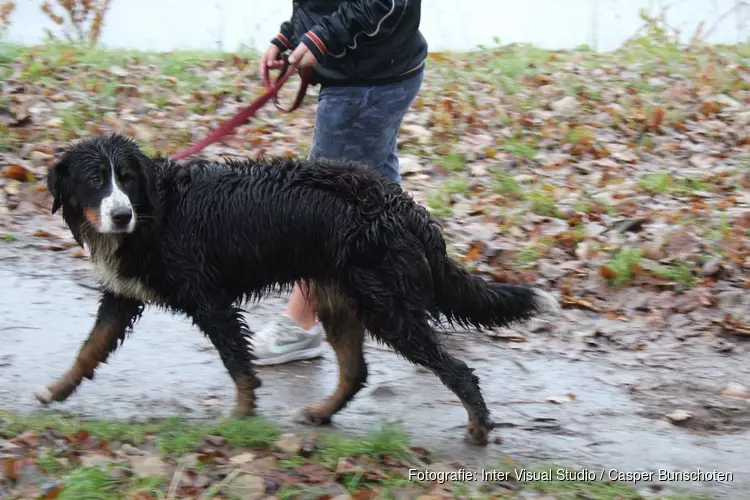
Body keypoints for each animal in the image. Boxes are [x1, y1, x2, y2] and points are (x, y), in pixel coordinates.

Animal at [39, 134, 560, 446]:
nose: (120, 214)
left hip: (388, 309)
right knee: (355, 372)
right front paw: (56, 390)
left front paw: (240, 417)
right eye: (95, 180)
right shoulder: (122, 296)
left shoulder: (210, 300)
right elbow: (89, 349)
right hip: (340, 300)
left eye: (126, 178)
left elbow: (238, 365)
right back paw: (321, 413)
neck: (154, 212)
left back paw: (478, 427)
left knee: (457, 371)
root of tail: (401, 205)